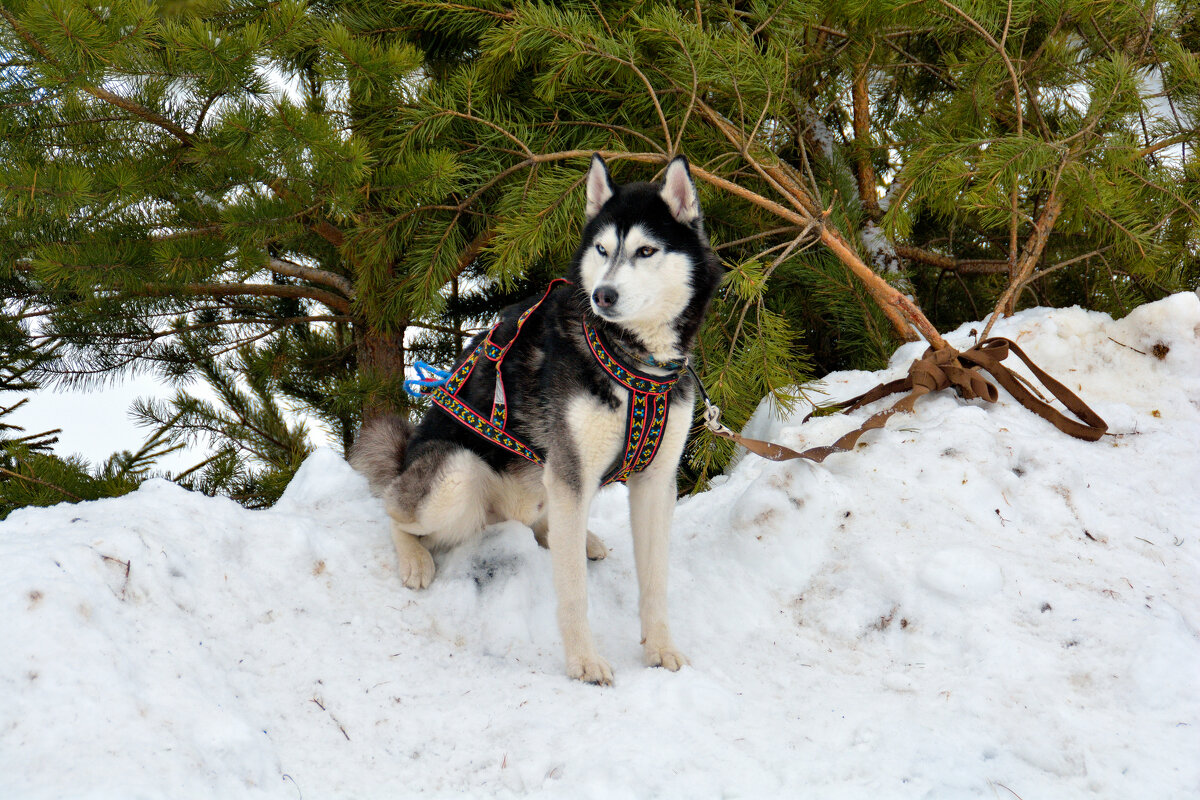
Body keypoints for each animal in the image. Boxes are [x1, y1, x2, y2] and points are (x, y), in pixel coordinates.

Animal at [350, 154, 720, 681]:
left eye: (646, 251)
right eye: (603, 249)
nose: (604, 295)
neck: (632, 361)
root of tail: (406, 457)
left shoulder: (655, 479)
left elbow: (654, 583)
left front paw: (660, 648)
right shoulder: (571, 471)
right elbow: (573, 591)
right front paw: (584, 661)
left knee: (546, 524)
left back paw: (580, 538)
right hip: (456, 475)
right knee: (394, 510)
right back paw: (415, 558)